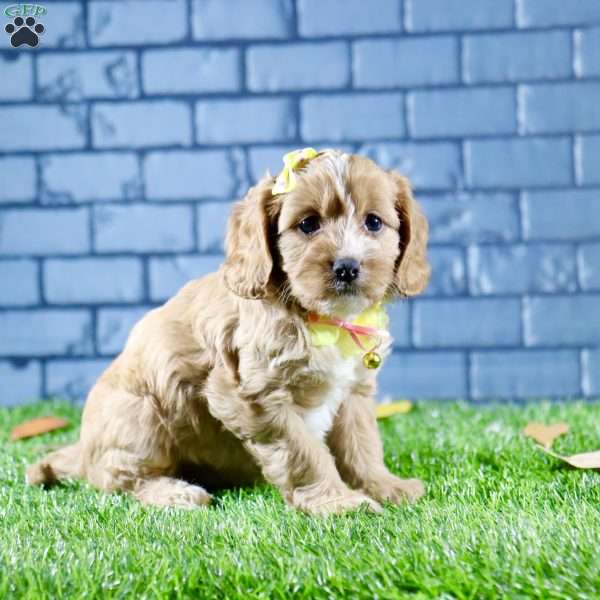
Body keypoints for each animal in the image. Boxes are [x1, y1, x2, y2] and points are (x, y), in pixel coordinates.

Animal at [28, 150, 432, 516]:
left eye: (374, 223)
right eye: (308, 224)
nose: (347, 267)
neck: (321, 320)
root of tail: (83, 449)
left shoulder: (353, 392)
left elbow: (361, 443)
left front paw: (383, 486)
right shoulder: (253, 395)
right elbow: (304, 452)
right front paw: (338, 503)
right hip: (139, 416)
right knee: (121, 479)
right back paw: (174, 493)